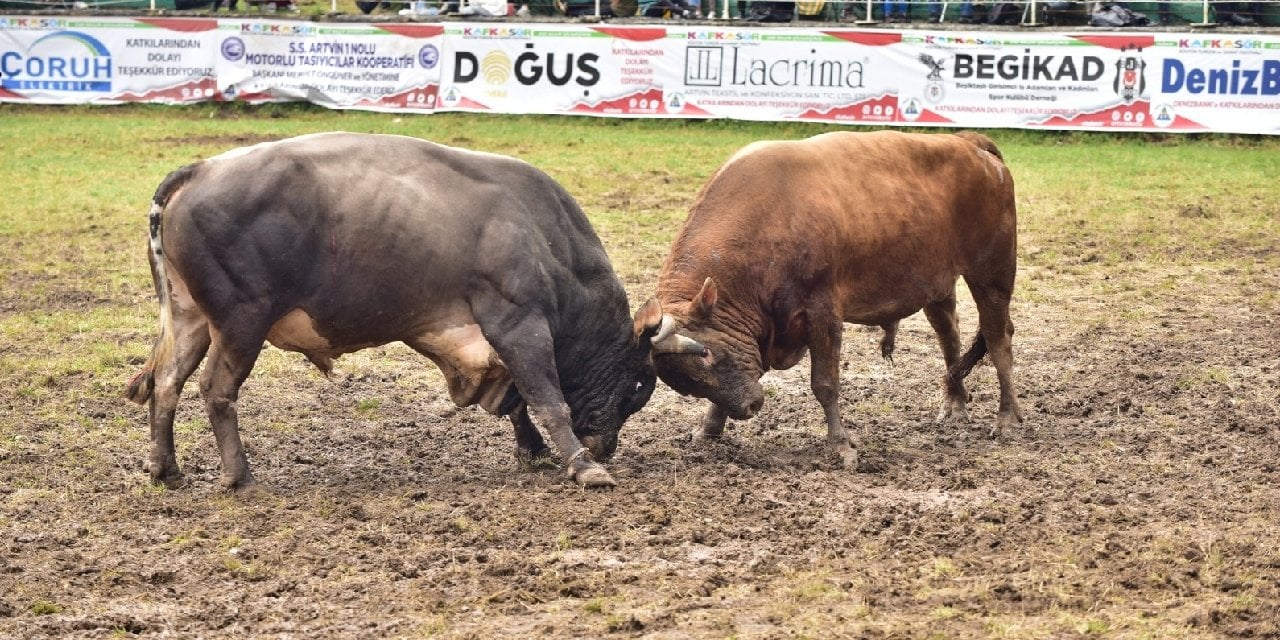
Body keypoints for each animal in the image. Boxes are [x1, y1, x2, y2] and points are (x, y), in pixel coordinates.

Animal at [126, 131, 660, 488]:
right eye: (636, 384)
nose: (607, 445)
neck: (545, 238)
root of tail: (200, 170)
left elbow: (517, 403)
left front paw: (534, 450)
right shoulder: (518, 323)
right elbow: (546, 398)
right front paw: (583, 465)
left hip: (192, 318)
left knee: (167, 384)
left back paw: (165, 469)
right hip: (241, 322)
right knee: (216, 389)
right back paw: (239, 475)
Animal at [655, 131, 1024, 471]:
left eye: (707, 355)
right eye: (686, 385)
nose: (749, 408)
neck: (770, 215)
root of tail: (967, 142)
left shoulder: (822, 312)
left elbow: (825, 384)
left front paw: (840, 447)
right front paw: (707, 431)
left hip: (991, 275)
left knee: (998, 340)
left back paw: (1007, 419)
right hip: (938, 284)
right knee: (949, 335)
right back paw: (955, 406)